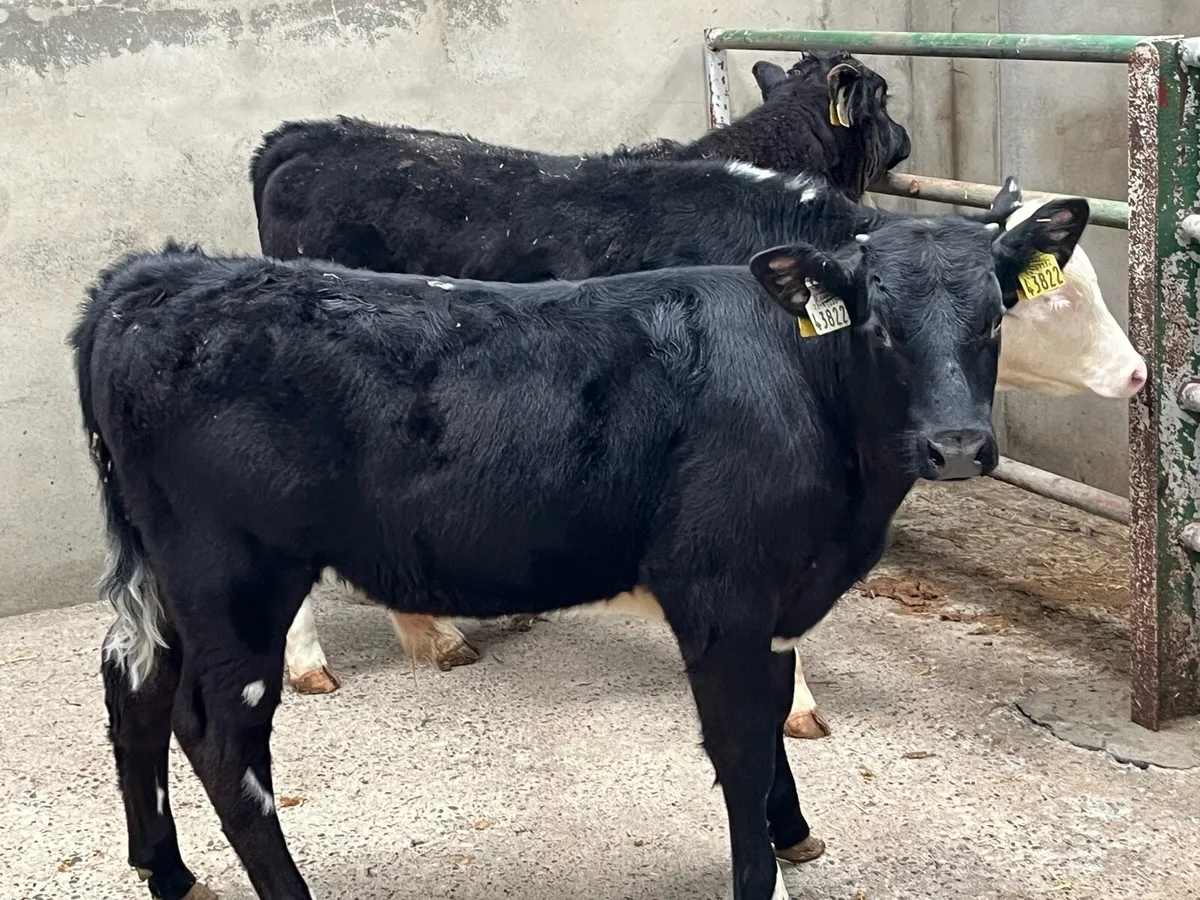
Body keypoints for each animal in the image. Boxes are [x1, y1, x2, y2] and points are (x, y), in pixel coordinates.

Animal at [75, 196, 1089, 900]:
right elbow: (742, 743)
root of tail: (153, 278)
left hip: (171, 577)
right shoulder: (721, 592)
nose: (956, 445)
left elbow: (773, 722)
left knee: (137, 691)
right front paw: (760, 868)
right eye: (880, 322)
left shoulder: (772, 600)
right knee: (221, 739)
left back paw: (168, 872)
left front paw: (792, 828)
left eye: (995, 317)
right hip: (234, 574)